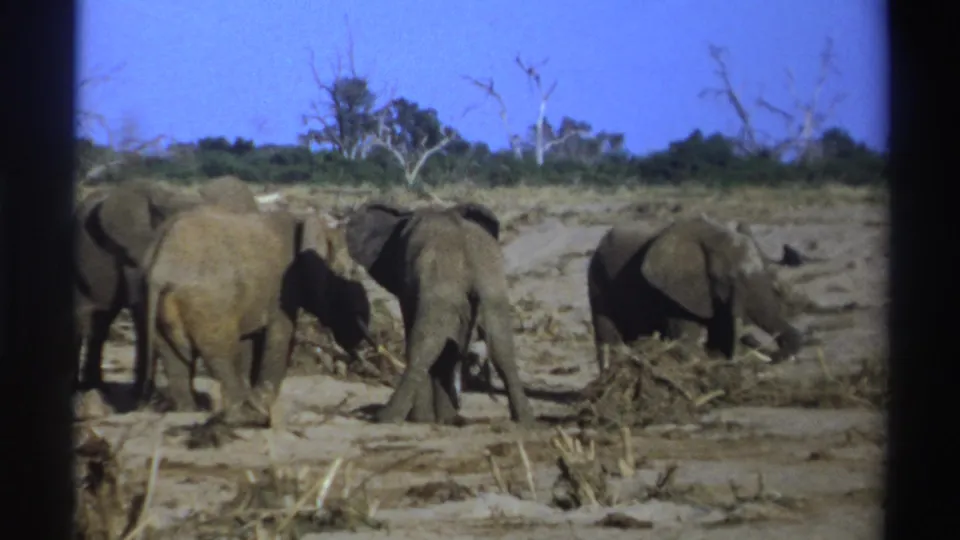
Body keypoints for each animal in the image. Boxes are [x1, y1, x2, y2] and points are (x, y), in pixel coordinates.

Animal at [72, 175, 259, 403]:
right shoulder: (134, 252)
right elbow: (142, 309)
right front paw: (143, 398)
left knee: (99, 320)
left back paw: (95, 388)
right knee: (88, 317)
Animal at [140, 205, 373, 426]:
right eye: (347, 274)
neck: (304, 218)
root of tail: (161, 266)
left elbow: (253, 343)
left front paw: (257, 399)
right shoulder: (282, 288)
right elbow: (281, 334)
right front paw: (262, 403)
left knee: (173, 354)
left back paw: (190, 410)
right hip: (209, 303)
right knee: (222, 352)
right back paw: (247, 417)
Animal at [344, 200, 535, 427]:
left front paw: (423, 419)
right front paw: (443, 418)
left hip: (442, 284)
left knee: (425, 344)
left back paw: (390, 418)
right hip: (490, 284)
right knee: (500, 345)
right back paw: (523, 420)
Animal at [587, 214, 804, 373]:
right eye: (730, 278)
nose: (747, 337)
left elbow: (719, 337)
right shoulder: (674, 290)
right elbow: (686, 340)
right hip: (597, 278)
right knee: (608, 336)